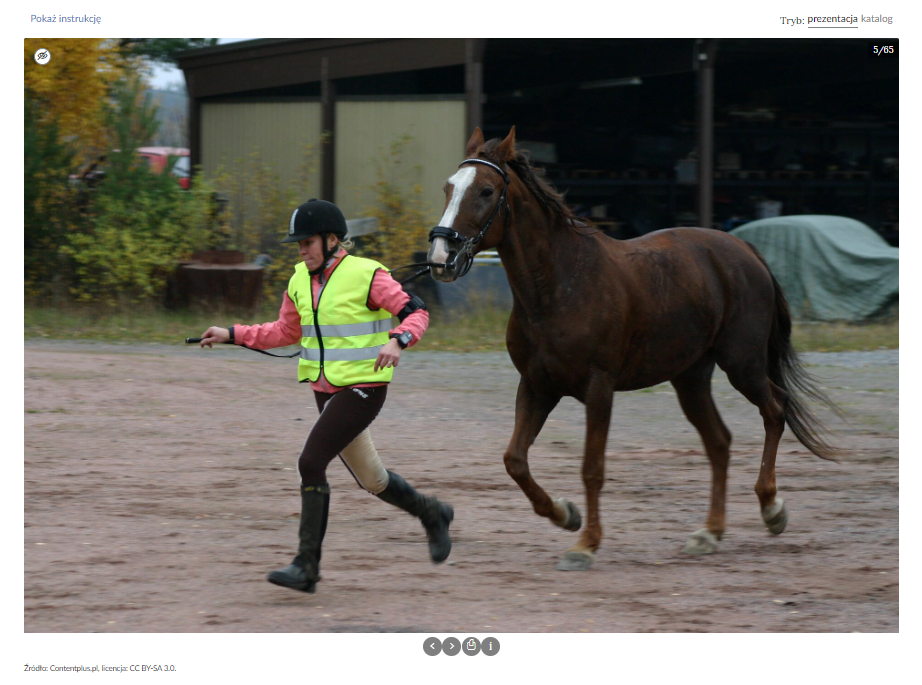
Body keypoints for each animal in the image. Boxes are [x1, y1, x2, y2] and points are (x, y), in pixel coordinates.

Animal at [426, 125, 832, 568]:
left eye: (485, 190)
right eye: (448, 187)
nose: (440, 258)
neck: (559, 285)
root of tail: (743, 250)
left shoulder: (598, 389)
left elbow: (592, 468)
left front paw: (585, 545)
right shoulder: (537, 386)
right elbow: (515, 460)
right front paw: (566, 515)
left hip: (742, 364)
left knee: (775, 410)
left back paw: (771, 508)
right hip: (691, 378)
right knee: (719, 441)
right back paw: (709, 533)